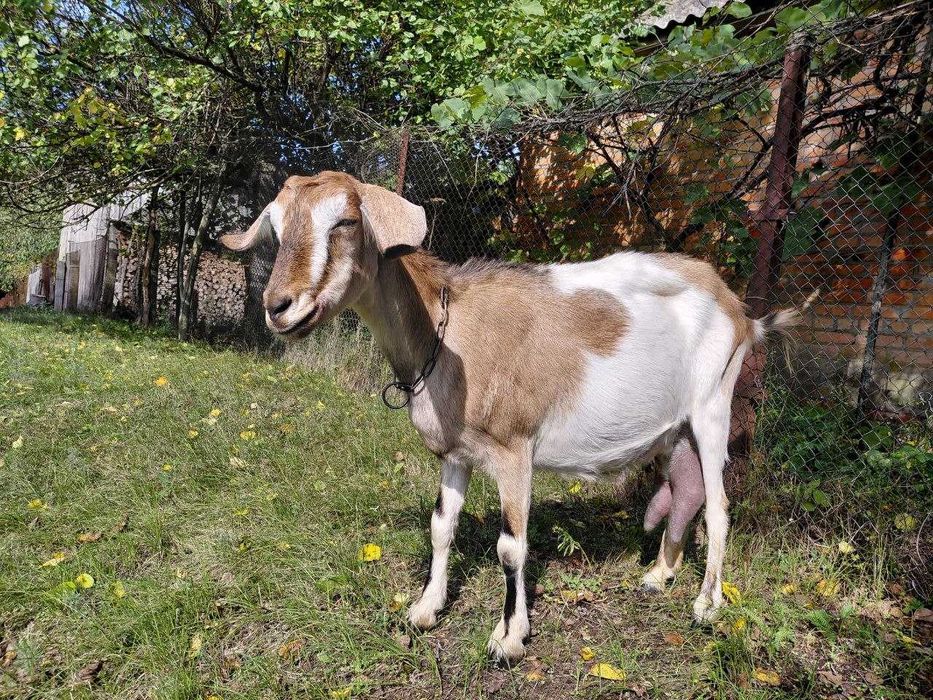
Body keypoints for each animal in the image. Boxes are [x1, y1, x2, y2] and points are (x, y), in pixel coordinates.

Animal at [221, 171, 799, 664]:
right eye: (276, 228)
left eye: (343, 222)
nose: (279, 307)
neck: (447, 331)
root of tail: (742, 313)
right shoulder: (454, 454)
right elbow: (442, 527)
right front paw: (425, 609)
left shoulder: (514, 449)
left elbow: (511, 547)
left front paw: (509, 637)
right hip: (676, 429)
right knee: (686, 488)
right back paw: (659, 575)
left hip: (713, 403)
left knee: (719, 505)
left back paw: (707, 604)